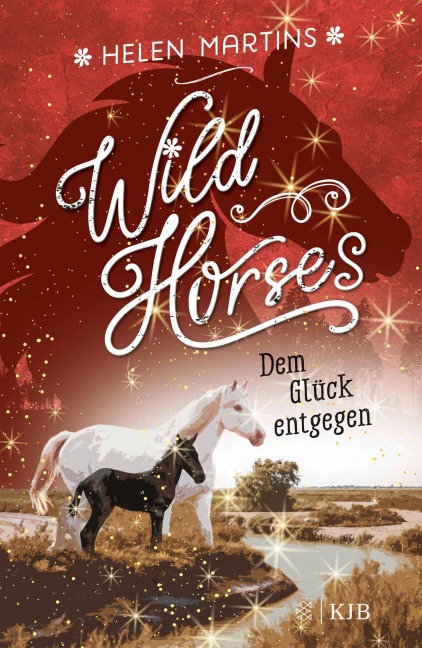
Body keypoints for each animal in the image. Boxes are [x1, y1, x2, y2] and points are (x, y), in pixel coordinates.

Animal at [68, 434, 205, 553]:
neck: (162, 478)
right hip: (102, 510)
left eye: (197, 454)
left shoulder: (156, 513)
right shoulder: (157, 512)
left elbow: (157, 539)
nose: (201, 477)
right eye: (186, 455)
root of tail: (86, 480)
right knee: (87, 533)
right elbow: (156, 540)